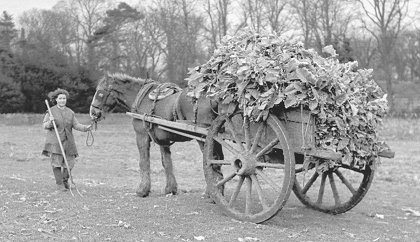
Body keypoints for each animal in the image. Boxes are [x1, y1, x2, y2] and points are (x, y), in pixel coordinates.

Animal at [88, 73, 220, 197]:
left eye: (100, 92)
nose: (93, 112)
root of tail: (212, 98)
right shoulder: (163, 140)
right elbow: (166, 162)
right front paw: (170, 189)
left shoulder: (141, 136)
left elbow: (144, 162)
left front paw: (142, 190)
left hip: (204, 138)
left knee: (211, 161)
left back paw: (210, 192)